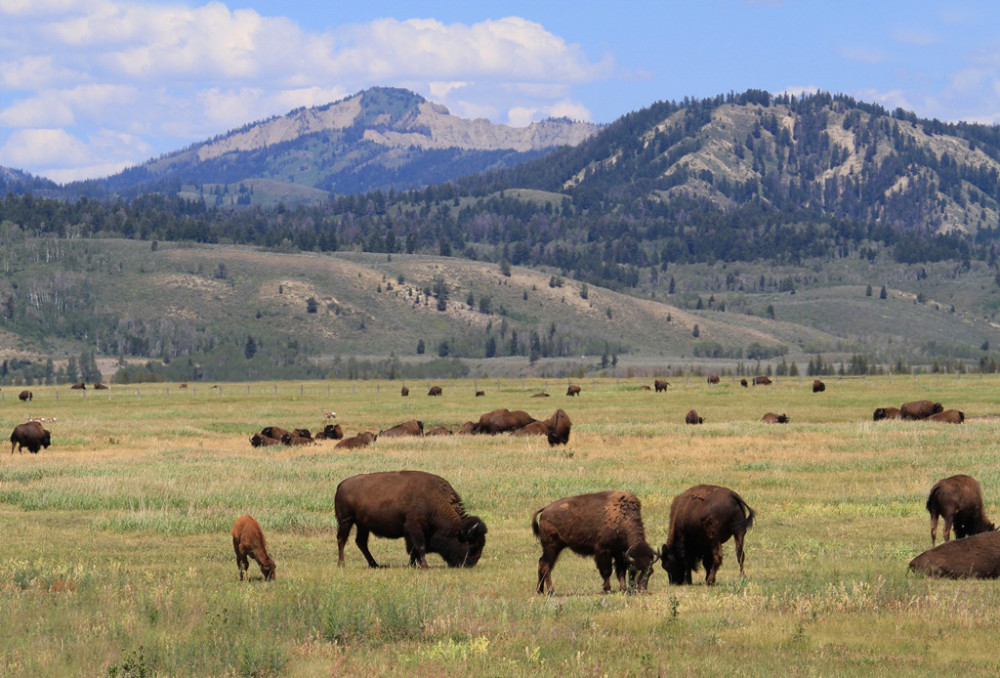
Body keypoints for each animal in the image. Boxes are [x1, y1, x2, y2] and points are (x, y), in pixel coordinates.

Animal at [334, 470, 486, 572]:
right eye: (472, 546)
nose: (470, 564)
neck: (435, 501)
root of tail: (341, 484)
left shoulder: (410, 531)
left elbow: (413, 549)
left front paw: (412, 565)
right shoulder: (414, 527)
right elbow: (419, 547)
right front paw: (425, 566)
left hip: (362, 525)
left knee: (361, 542)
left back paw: (375, 564)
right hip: (346, 520)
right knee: (342, 539)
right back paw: (342, 564)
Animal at [528, 492, 660, 596]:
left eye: (650, 572)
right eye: (635, 570)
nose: (642, 590)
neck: (623, 517)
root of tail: (545, 510)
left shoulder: (620, 553)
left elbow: (620, 571)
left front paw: (623, 589)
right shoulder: (603, 551)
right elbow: (607, 571)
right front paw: (608, 589)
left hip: (554, 548)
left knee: (542, 563)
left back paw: (540, 590)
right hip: (552, 547)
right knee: (546, 565)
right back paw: (551, 591)